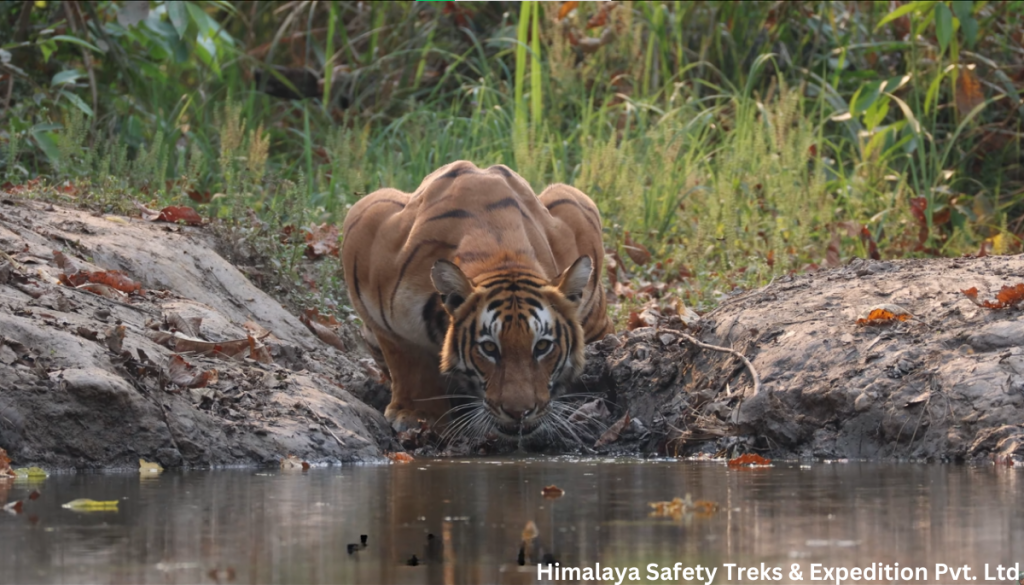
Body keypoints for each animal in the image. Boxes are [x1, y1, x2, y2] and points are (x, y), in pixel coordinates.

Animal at [339, 159, 610, 444]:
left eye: (543, 346)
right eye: (489, 348)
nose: (519, 413)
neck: (502, 256)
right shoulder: (367, 225)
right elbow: (406, 359)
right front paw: (416, 414)